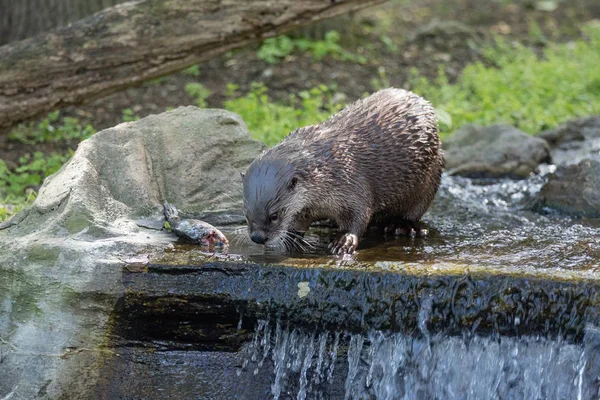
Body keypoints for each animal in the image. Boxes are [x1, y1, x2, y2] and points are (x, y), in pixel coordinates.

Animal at [241, 88, 442, 255]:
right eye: (246, 214)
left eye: (274, 216)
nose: (258, 237)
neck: (326, 170)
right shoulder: (305, 208)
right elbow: (298, 222)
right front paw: (293, 238)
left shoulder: (352, 183)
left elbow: (359, 216)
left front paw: (344, 240)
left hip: (431, 176)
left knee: (414, 210)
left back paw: (402, 226)